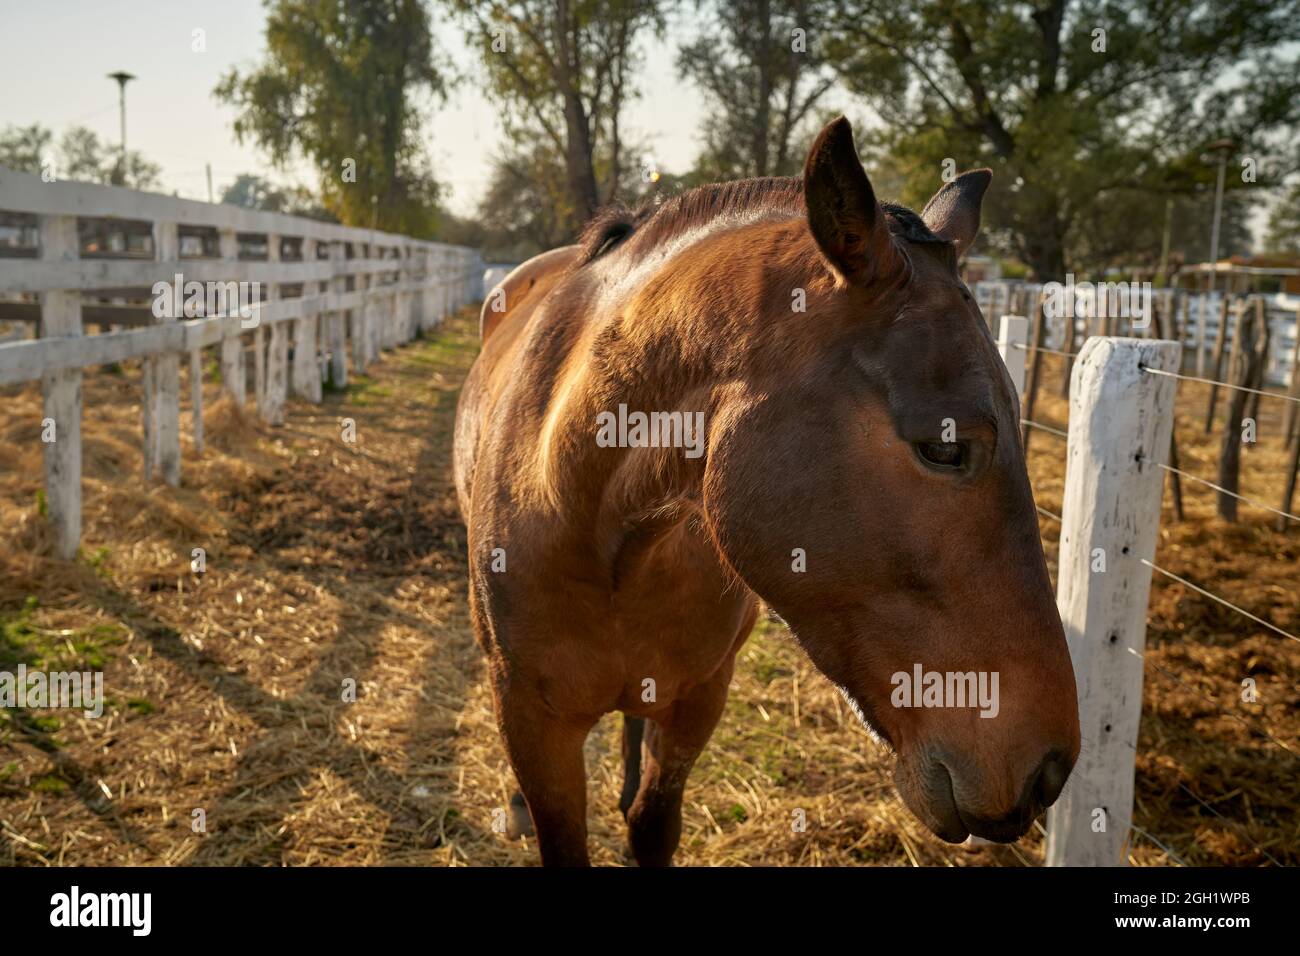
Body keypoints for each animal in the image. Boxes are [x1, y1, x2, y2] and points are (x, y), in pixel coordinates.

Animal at [452, 113, 1081, 868]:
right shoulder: (532, 719)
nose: (1049, 769)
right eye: (945, 446)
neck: (604, 532)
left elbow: (651, 822)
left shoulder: (699, 699)